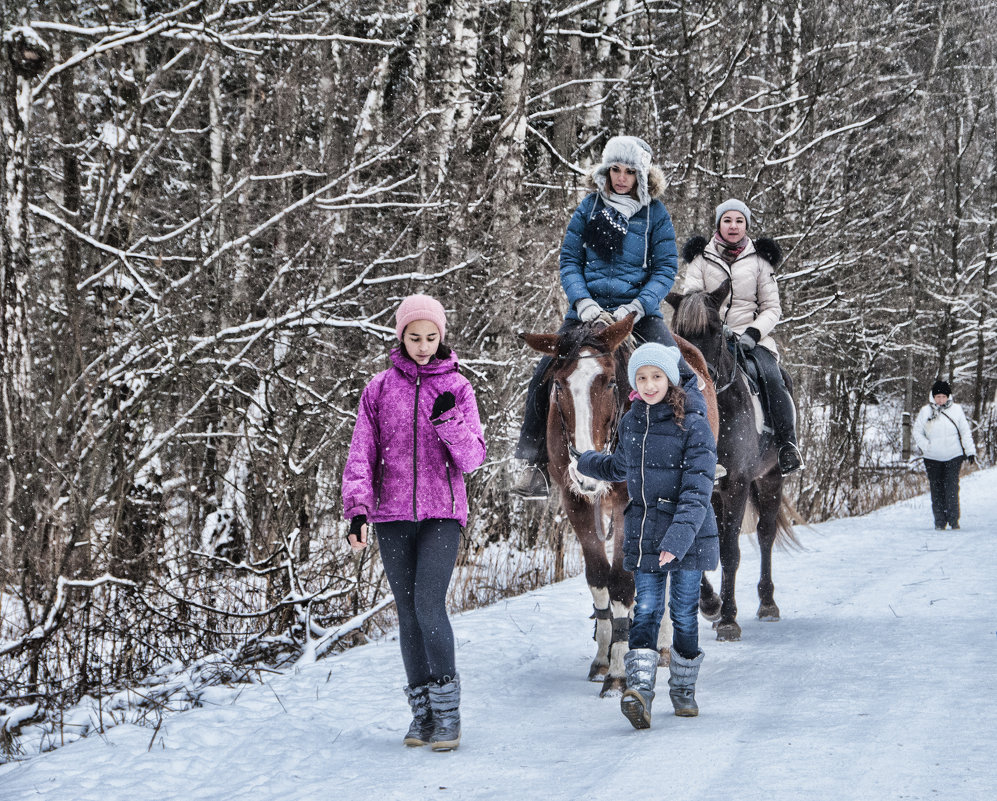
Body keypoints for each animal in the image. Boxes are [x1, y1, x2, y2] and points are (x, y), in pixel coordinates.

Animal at [520, 314, 716, 692]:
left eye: (611, 383)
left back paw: (664, 646)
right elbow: (599, 579)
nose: (585, 471)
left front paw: (619, 672)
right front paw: (602, 658)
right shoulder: (576, 503)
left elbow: (624, 582)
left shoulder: (631, 503)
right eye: (558, 386)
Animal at [664, 278, 796, 640]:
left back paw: (768, 603)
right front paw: (710, 604)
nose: (695, 378)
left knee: (765, 535)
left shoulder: (737, 484)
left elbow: (729, 551)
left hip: (770, 477)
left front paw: (727, 620)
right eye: (677, 332)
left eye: (713, 329)